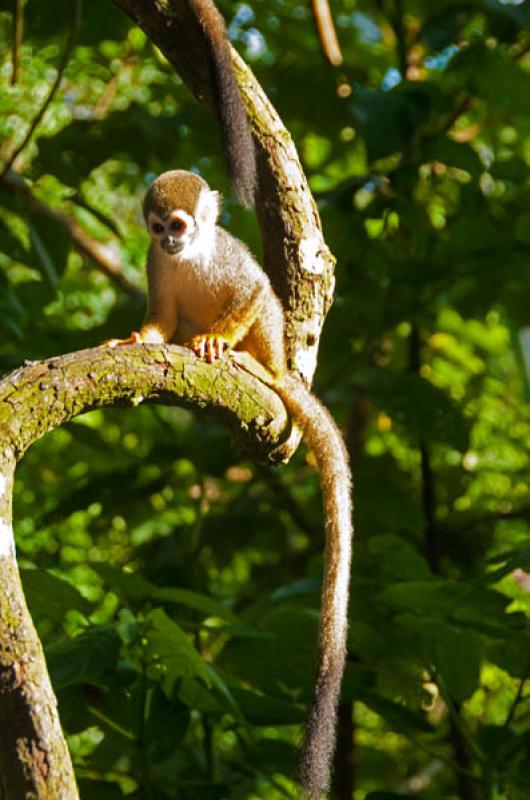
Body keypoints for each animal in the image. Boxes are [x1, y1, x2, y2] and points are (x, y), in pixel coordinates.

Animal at [104, 170, 350, 800]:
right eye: (157, 229)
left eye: (180, 226)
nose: (170, 242)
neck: (192, 257)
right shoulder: (153, 264)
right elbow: (162, 317)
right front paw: (139, 338)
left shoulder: (231, 261)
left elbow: (257, 292)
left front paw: (218, 341)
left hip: (276, 349)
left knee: (265, 315)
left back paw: (254, 364)